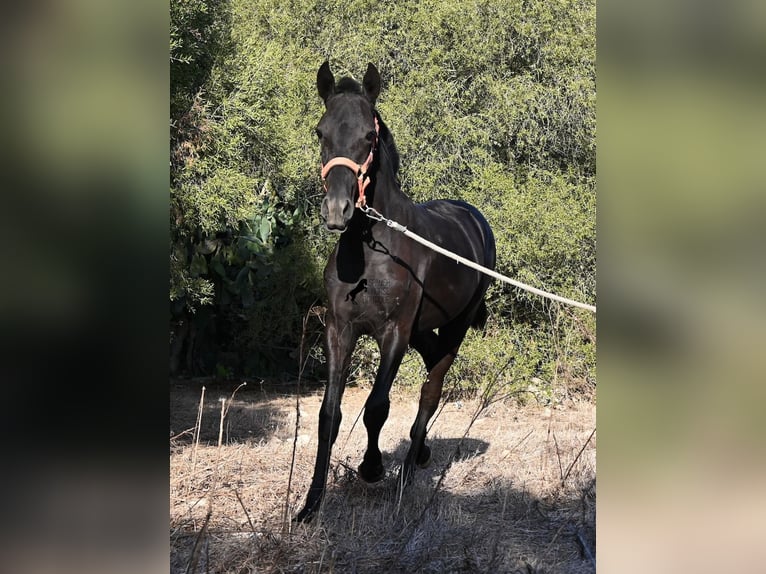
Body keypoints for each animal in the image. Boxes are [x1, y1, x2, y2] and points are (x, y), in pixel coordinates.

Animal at [295, 62, 496, 522]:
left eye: (368, 138)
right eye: (320, 131)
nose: (337, 211)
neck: (371, 251)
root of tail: (476, 220)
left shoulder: (394, 333)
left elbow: (376, 407)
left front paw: (371, 469)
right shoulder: (339, 330)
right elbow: (329, 415)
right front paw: (310, 505)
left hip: (454, 325)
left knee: (432, 388)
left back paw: (405, 474)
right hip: (424, 329)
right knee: (432, 360)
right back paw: (419, 454)